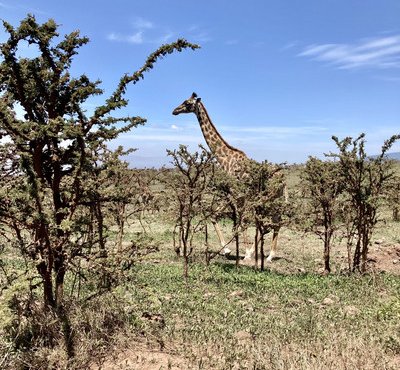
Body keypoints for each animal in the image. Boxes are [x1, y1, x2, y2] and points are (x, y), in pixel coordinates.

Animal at [172, 92, 282, 260]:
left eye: (187, 103)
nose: (174, 111)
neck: (225, 158)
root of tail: (283, 177)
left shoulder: (236, 193)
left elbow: (241, 220)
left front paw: (245, 253)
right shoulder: (232, 194)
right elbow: (215, 216)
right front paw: (228, 250)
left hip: (269, 196)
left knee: (273, 221)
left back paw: (267, 255)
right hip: (273, 197)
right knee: (276, 221)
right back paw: (267, 255)